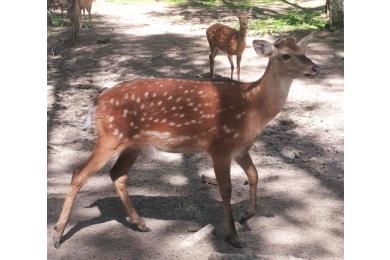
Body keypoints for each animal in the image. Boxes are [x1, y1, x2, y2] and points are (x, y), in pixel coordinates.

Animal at [52, 33, 320, 249]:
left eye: (304, 51)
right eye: (285, 55)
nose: (315, 68)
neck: (252, 108)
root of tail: (96, 102)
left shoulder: (240, 147)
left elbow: (254, 175)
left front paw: (247, 216)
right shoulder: (220, 145)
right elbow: (226, 189)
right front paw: (233, 236)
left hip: (133, 144)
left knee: (117, 174)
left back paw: (140, 223)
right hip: (110, 136)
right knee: (79, 173)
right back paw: (57, 235)